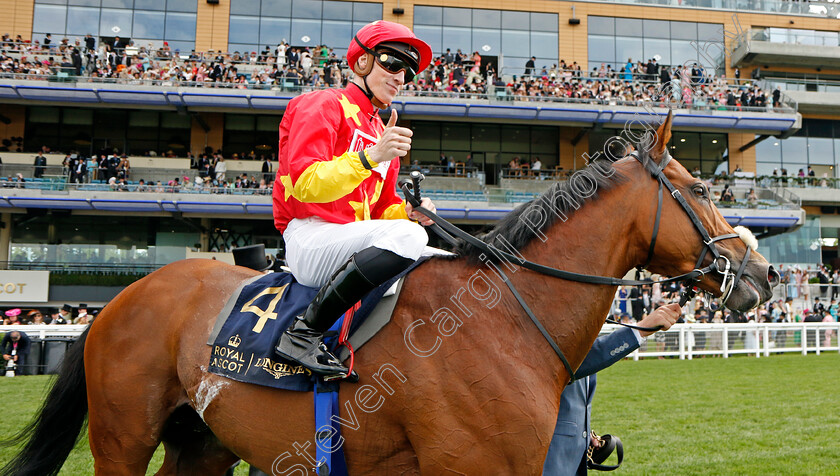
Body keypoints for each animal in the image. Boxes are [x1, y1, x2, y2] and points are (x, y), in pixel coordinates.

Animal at [3, 113, 776, 474]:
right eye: (701, 189)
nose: (763, 273)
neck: (505, 319)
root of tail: (122, 300)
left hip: (204, 444)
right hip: (121, 440)